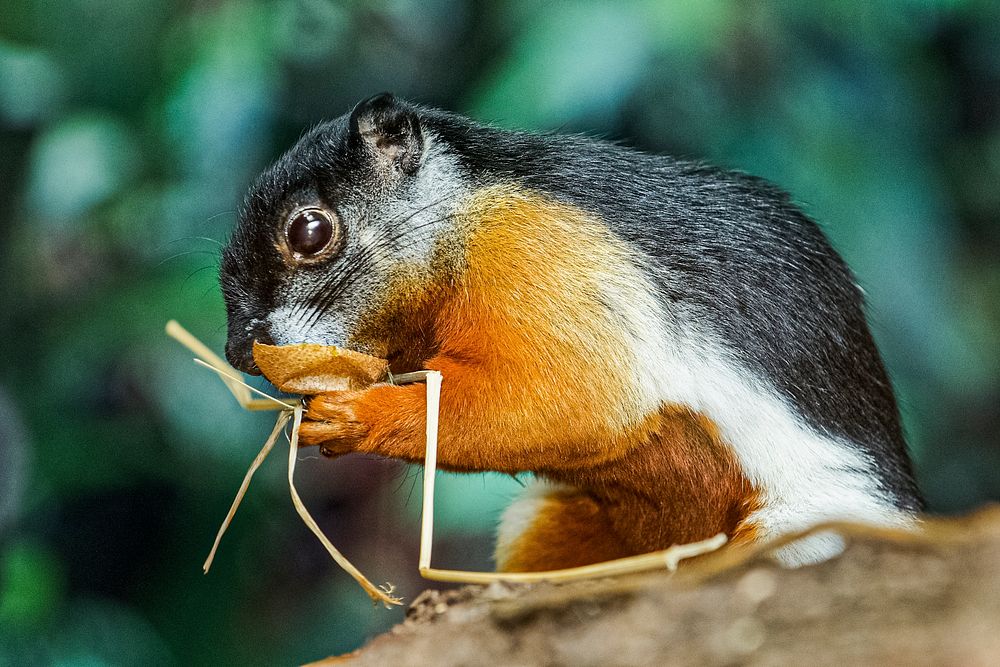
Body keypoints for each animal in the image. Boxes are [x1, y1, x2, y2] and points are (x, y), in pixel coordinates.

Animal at [223, 94, 924, 572]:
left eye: (310, 231)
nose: (238, 351)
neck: (458, 220)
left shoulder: (541, 260)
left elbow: (573, 397)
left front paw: (358, 416)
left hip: (799, 536)